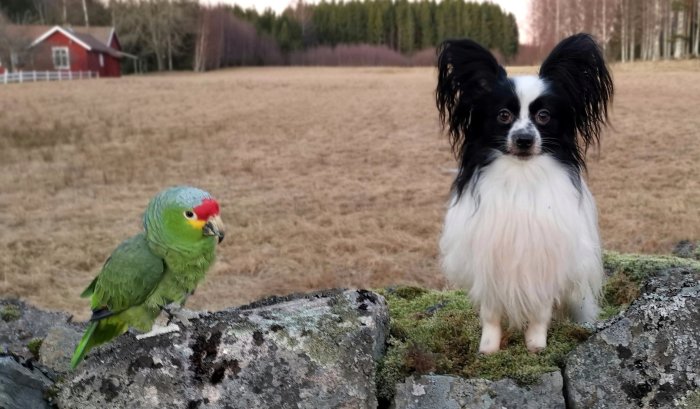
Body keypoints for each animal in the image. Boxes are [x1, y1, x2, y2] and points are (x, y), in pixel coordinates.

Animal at [438, 34, 612, 354]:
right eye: (503, 115)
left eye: (544, 116)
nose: (523, 139)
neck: (521, 175)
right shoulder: (490, 263)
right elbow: (491, 315)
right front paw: (488, 349)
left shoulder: (543, 261)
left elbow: (540, 313)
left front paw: (536, 346)